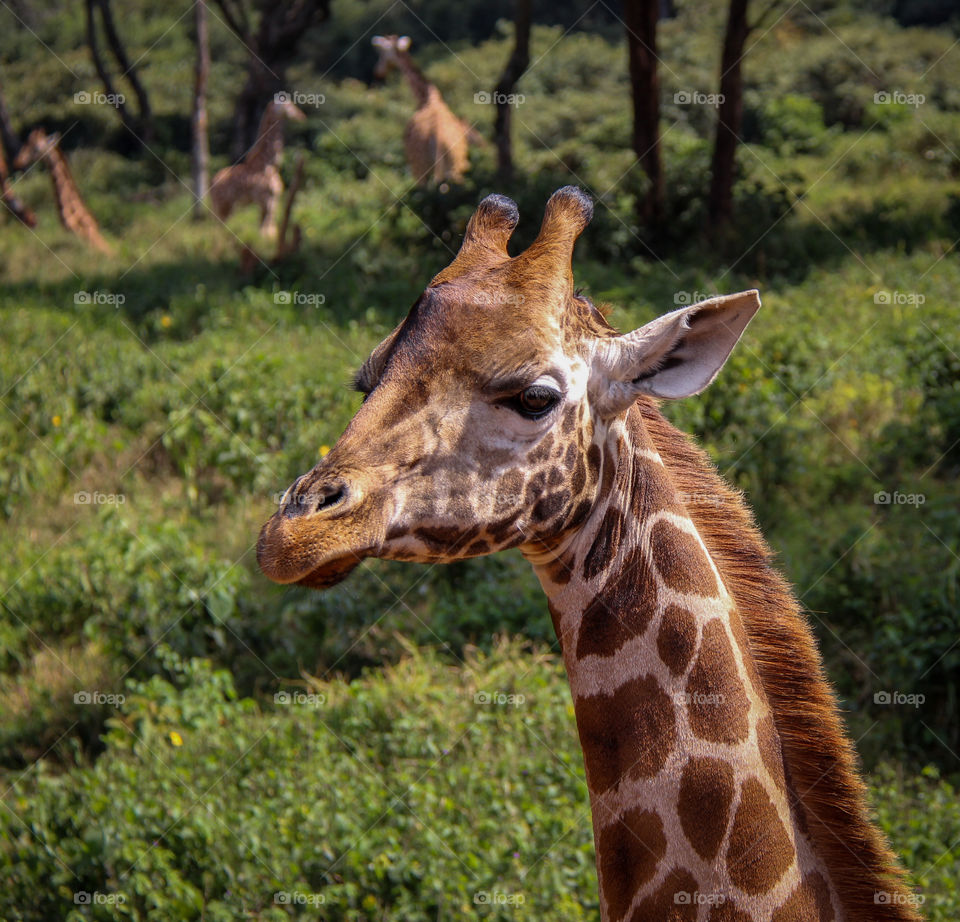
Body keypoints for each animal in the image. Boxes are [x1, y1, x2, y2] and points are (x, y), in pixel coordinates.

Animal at [211, 95, 308, 239]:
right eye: (288, 105)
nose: (302, 116)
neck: (269, 164)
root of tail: (211, 182)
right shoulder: (265, 200)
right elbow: (265, 233)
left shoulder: (273, 200)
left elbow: (269, 231)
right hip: (223, 205)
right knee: (218, 230)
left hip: (227, 207)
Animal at [374, 34, 480, 185]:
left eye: (381, 53)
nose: (377, 71)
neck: (427, 99)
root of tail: (437, 140)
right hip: (455, 169)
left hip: (420, 170)